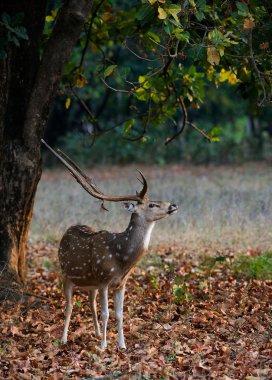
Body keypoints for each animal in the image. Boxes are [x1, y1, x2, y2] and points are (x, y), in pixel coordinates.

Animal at [41, 140, 177, 350]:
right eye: (152, 204)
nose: (173, 205)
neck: (122, 258)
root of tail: (69, 229)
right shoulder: (104, 279)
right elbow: (106, 313)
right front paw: (103, 346)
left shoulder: (120, 283)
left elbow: (119, 314)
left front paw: (122, 344)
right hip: (66, 274)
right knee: (69, 305)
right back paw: (64, 338)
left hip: (91, 282)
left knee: (91, 302)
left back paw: (96, 333)